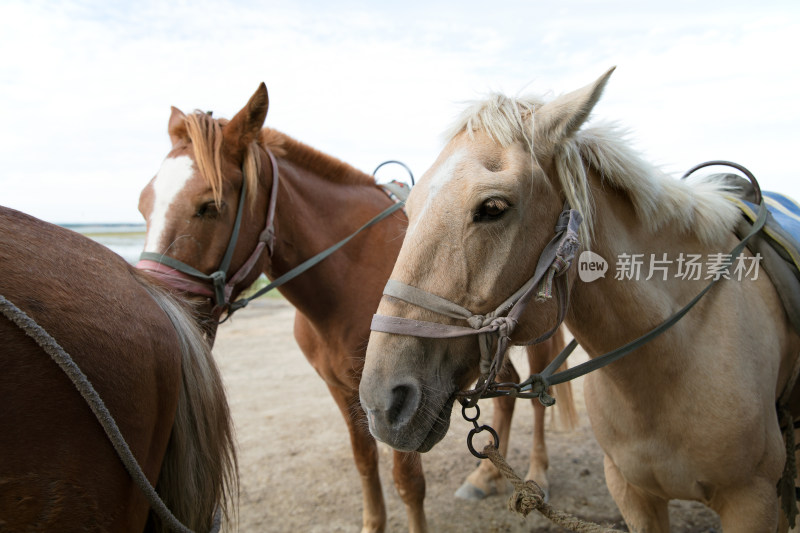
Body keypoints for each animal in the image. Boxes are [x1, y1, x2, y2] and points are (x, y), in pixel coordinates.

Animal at [138, 84, 576, 532]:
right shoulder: (346, 393)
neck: (349, 273)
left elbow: (408, 482)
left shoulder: (398, 402)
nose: (160, 310)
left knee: (537, 392)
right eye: (143, 204)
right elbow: (365, 465)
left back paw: (537, 473)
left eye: (209, 206)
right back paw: (485, 475)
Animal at [360, 67, 800, 532]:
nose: (382, 403)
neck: (667, 364)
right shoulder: (632, 493)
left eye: (493, 207)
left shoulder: (751, 500)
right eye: (409, 210)